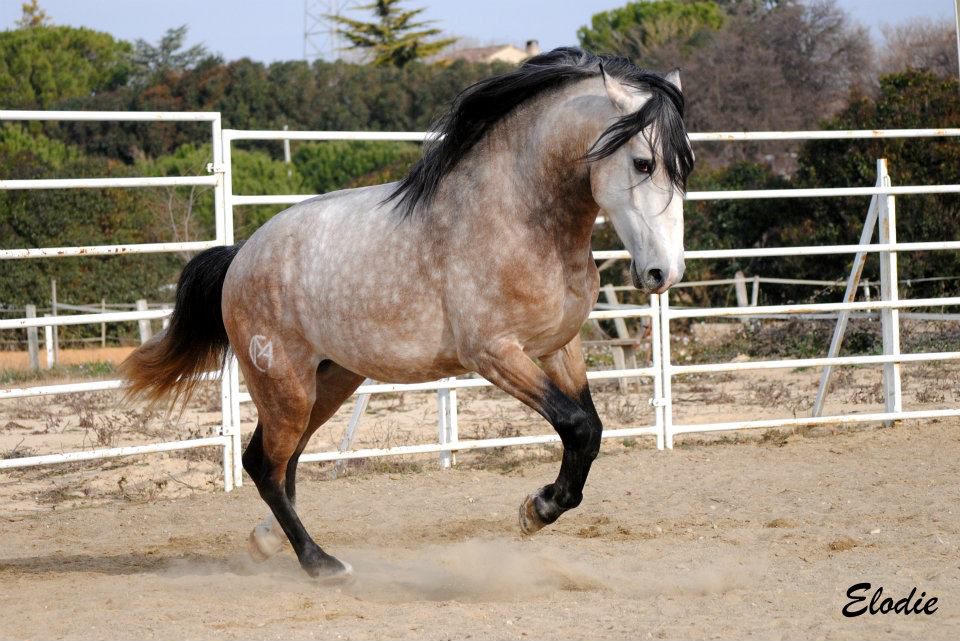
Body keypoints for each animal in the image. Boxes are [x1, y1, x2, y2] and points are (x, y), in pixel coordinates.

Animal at [120, 47, 693, 579]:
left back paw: (268, 543)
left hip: (331, 381)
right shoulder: (495, 354)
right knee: (263, 464)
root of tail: (241, 255)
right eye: (643, 163)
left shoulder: (558, 346)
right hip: (285, 385)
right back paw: (320, 563)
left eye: (684, 166)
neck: (519, 220)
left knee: (285, 463)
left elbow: (590, 429)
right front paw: (537, 509)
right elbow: (576, 426)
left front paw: (540, 507)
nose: (663, 274)